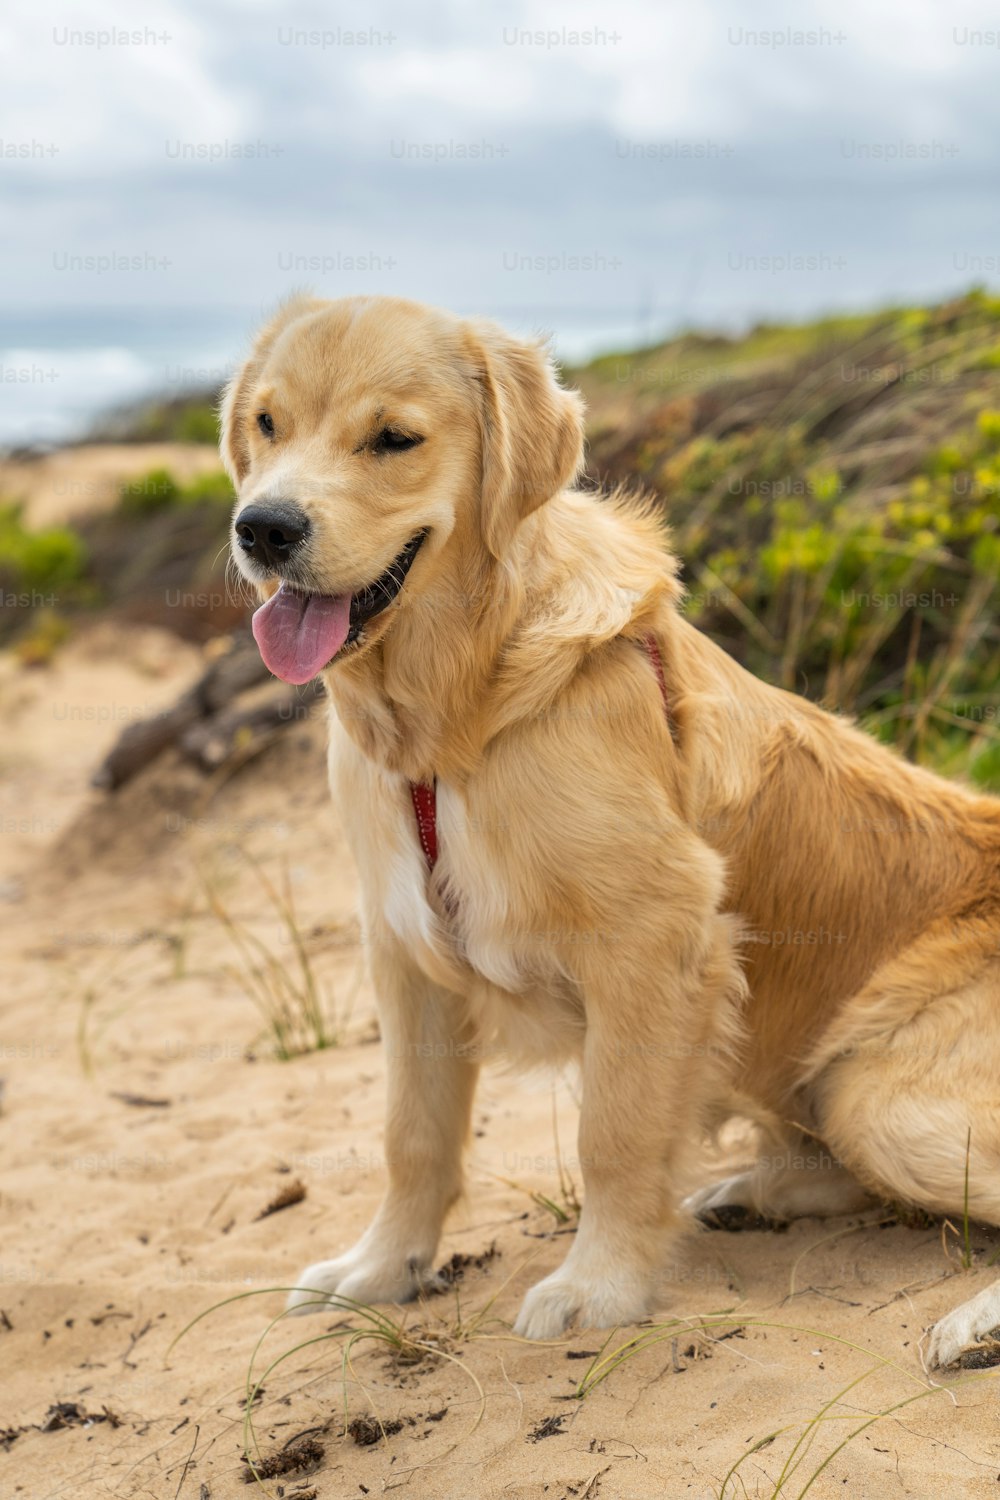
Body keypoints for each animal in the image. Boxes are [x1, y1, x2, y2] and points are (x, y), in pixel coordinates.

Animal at [223, 295, 1000, 1374]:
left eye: (393, 440)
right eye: (267, 424)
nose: (263, 527)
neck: (455, 707)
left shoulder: (654, 939)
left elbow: (616, 1132)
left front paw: (599, 1287)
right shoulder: (403, 952)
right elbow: (410, 1134)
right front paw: (380, 1269)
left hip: (879, 1094)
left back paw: (972, 1320)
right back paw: (753, 1193)